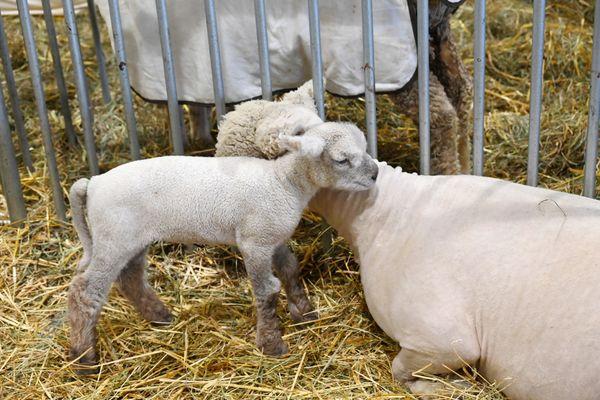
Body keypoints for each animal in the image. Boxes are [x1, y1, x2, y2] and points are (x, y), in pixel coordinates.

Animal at [95, 0, 468, 175]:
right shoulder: (195, 69)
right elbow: (196, 103)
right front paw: (199, 137)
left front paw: (194, 139)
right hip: (436, 42)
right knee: (462, 93)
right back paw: (464, 164)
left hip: (394, 62)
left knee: (441, 115)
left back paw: (445, 170)